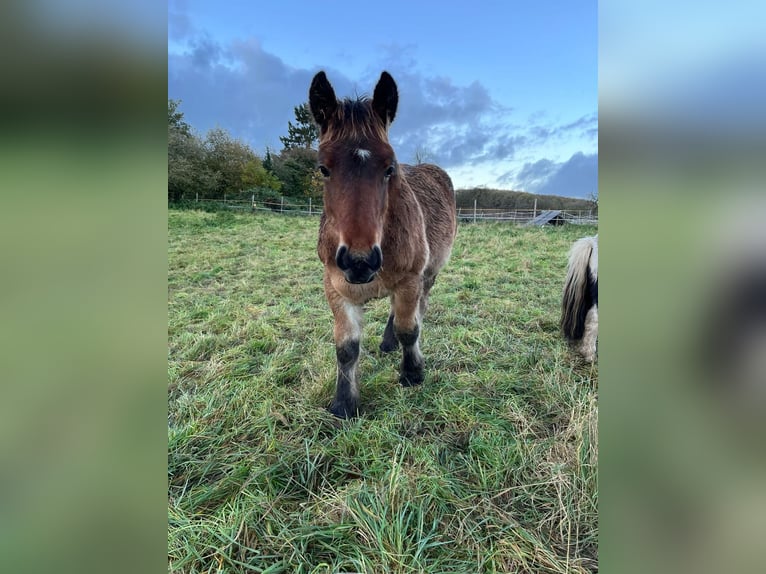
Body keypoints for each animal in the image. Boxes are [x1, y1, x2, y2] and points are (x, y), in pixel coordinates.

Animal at [310, 72, 460, 420]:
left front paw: (412, 373)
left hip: (428, 275)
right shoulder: (335, 288)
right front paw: (344, 403)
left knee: (418, 309)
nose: (359, 261)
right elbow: (346, 348)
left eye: (390, 167)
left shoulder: (410, 280)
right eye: (323, 168)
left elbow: (409, 329)